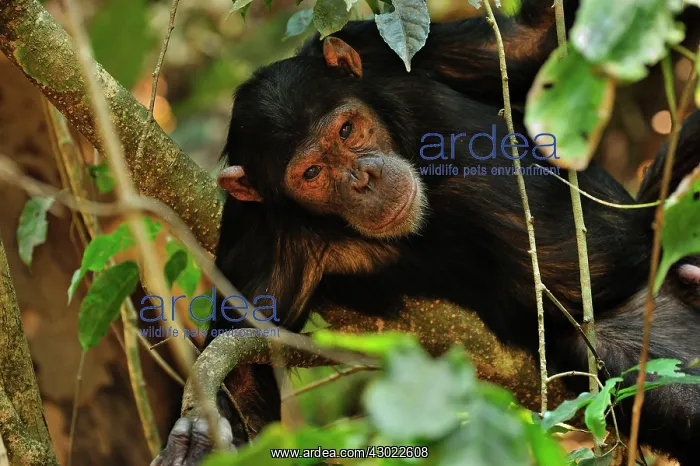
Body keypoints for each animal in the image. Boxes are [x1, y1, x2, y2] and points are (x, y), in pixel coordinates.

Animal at [152, 2, 700, 465]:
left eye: (346, 131)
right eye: (311, 173)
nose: (362, 178)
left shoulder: (376, 46)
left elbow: (528, 43)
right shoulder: (267, 241)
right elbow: (244, 364)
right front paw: (200, 438)